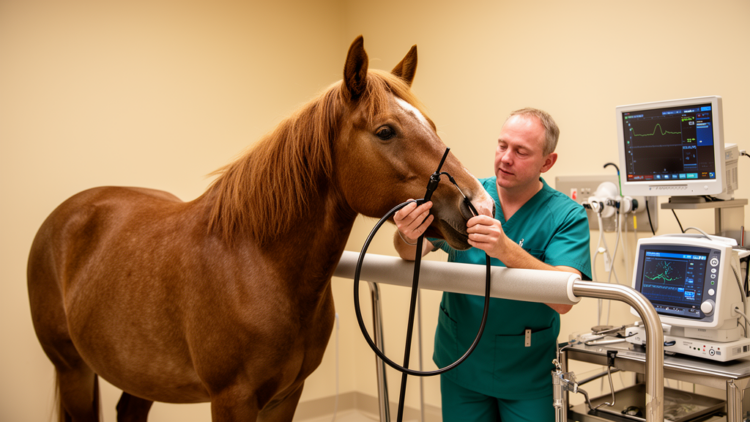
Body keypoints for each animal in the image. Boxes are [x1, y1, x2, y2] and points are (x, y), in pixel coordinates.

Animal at [27, 36, 494, 422]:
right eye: (385, 131)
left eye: (430, 126)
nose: (478, 204)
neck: (257, 264)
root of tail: (65, 215)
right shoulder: (231, 400)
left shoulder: (286, 396)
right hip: (72, 369)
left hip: (139, 373)